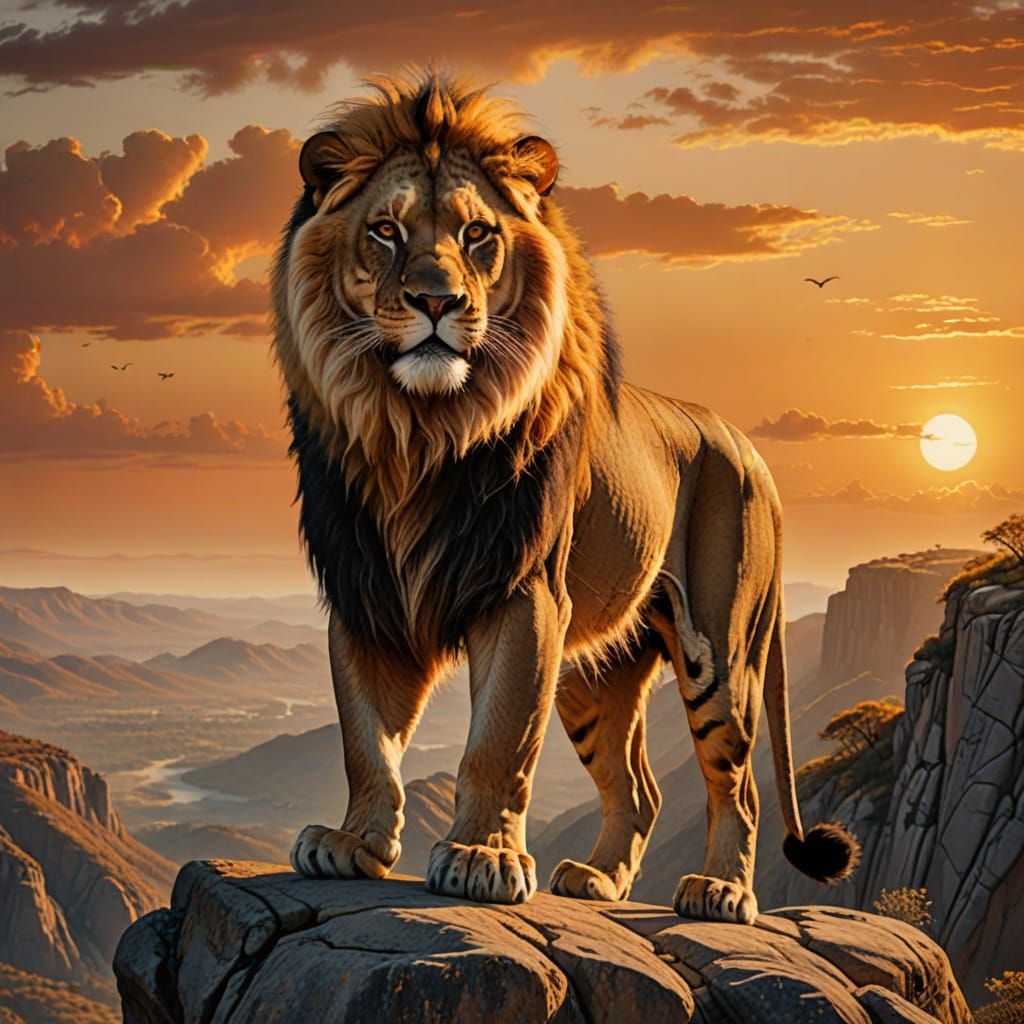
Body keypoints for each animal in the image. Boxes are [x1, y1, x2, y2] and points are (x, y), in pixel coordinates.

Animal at [272, 67, 859, 922]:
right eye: (384, 230)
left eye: (477, 235)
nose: (437, 302)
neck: (416, 433)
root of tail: (747, 445)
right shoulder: (366, 591)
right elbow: (364, 738)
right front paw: (352, 844)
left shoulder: (525, 595)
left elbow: (498, 739)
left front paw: (481, 859)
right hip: (592, 671)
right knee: (641, 790)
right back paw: (600, 880)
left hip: (723, 653)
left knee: (738, 788)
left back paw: (722, 891)